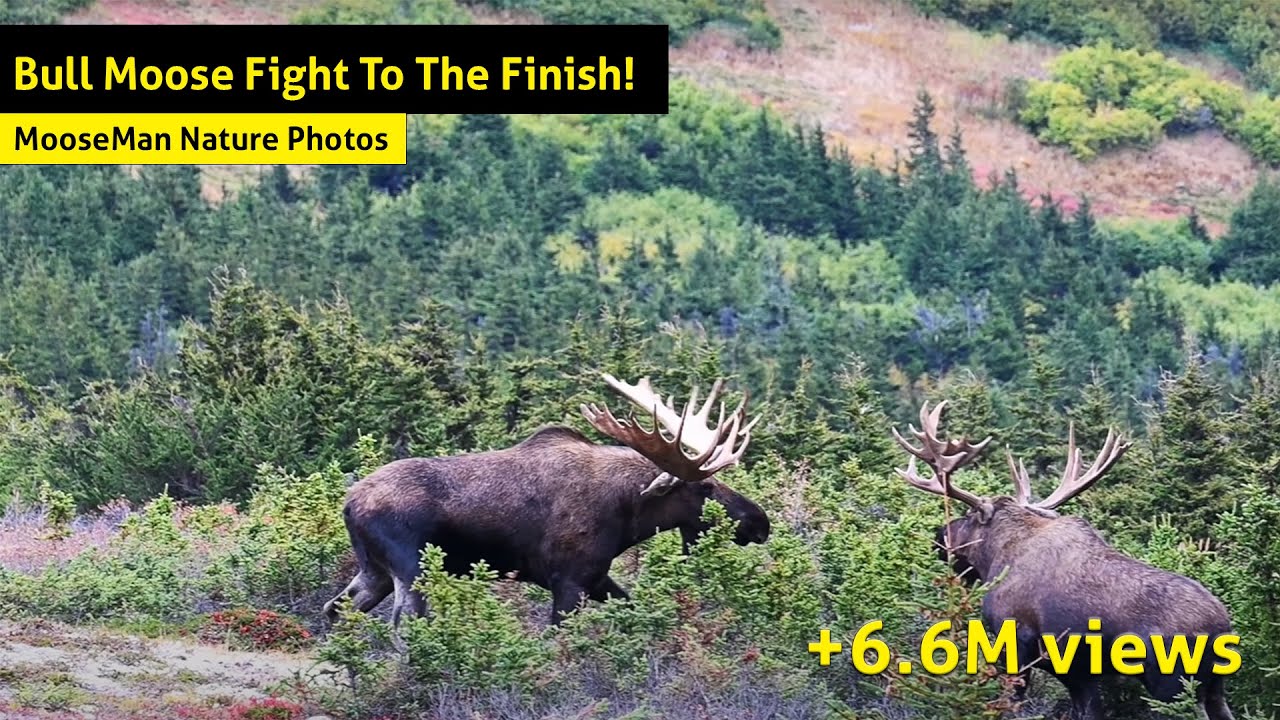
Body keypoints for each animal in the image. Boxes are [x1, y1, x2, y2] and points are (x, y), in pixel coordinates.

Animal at [323, 372, 771, 628]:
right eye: (705, 487)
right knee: (403, 626)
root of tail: (348, 503)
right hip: (411, 568)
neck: (630, 515)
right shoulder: (570, 579)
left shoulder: (597, 577)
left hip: (374, 570)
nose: (760, 522)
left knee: (335, 609)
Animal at [891, 400, 1236, 720]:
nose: (939, 535)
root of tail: (1222, 629)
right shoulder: (1078, 673)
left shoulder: (1015, 641)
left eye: (967, 515)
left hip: (1173, 682)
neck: (996, 559)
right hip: (1215, 686)